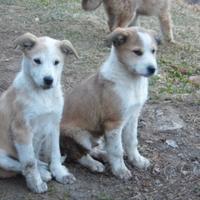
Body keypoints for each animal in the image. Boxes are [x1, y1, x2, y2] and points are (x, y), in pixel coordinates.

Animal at [0, 33, 78, 193]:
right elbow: (29, 163)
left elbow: (55, 152)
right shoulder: (21, 129)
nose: (48, 80)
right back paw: (43, 173)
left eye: (56, 62)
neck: (43, 95)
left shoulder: (54, 124)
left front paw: (60, 173)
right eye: (37, 61)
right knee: (20, 164)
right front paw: (36, 183)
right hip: (2, 157)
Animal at [61, 27, 159, 180]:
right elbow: (117, 150)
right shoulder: (114, 123)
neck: (132, 81)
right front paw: (120, 170)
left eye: (153, 51)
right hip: (78, 134)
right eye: (137, 52)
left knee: (91, 148)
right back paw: (94, 164)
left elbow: (132, 141)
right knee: (77, 154)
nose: (152, 69)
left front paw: (137, 161)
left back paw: (103, 155)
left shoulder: (132, 116)